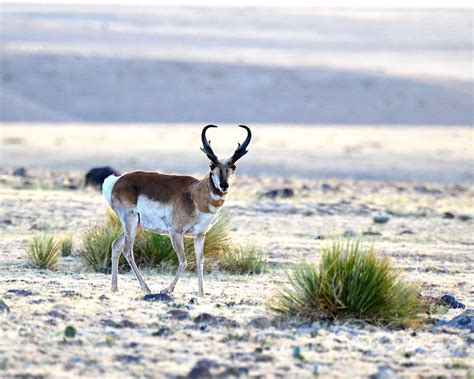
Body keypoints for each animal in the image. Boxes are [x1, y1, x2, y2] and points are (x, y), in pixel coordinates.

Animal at [102, 124, 252, 296]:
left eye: (233, 166)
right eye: (212, 166)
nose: (224, 185)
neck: (195, 195)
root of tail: (117, 180)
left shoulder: (200, 236)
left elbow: (200, 261)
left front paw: (201, 293)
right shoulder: (176, 233)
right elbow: (184, 261)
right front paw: (167, 289)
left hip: (137, 225)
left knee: (116, 246)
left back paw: (115, 287)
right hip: (131, 222)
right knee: (128, 250)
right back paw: (146, 287)